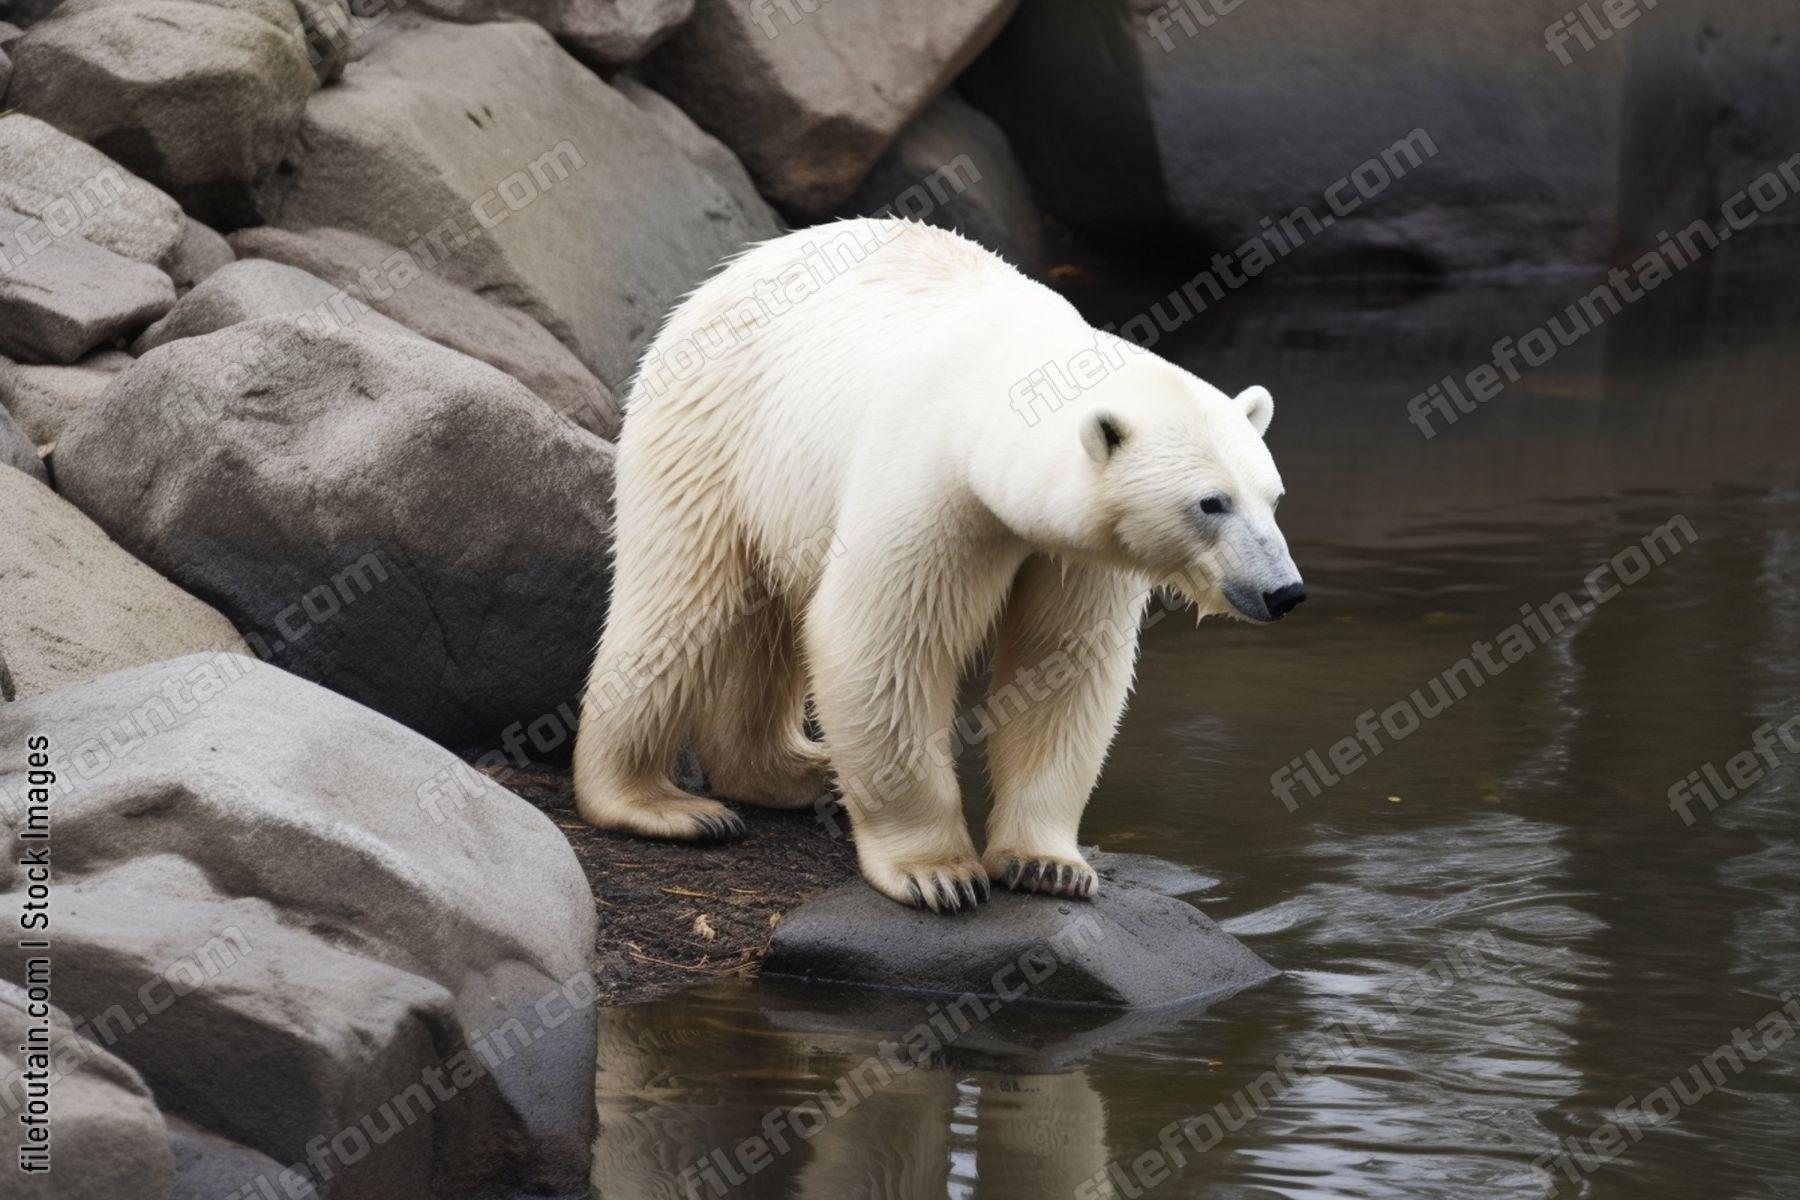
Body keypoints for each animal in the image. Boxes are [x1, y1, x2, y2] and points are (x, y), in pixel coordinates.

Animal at [573, 218, 1304, 912]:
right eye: (1211, 502)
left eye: (1272, 497)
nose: (1284, 592)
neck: (1004, 378)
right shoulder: (932, 480)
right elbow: (884, 643)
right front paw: (939, 874)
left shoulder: (1078, 550)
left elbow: (1064, 660)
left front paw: (1048, 865)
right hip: (712, 430)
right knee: (679, 602)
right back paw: (662, 804)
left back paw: (795, 771)